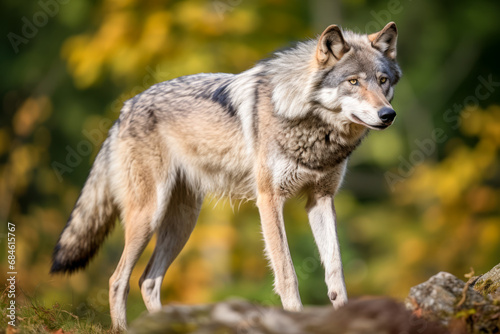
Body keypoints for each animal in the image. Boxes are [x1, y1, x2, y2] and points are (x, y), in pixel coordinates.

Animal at [50, 21, 402, 332]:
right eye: (353, 82)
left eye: (383, 80)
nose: (388, 114)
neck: (310, 125)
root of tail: (125, 109)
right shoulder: (269, 200)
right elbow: (287, 273)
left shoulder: (320, 199)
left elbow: (335, 270)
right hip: (149, 216)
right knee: (117, 280)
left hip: (183, 222)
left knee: (147, 280)